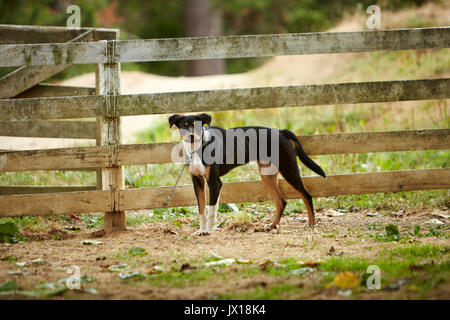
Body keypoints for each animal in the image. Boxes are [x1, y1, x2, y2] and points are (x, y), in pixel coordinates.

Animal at [167, 113, 326, 235]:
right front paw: (201, 230)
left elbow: (211, 209)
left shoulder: (214, 182)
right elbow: (201, 209)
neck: (198, 148)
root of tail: (281, 131)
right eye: (184, 126)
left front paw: (208, 231)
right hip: (267, 175)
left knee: (306, 195)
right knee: (281, 201)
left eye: (198, 125)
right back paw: (271, 226)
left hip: (288, 169)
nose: (191, 136)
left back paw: (312, 224)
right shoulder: (198, 182)